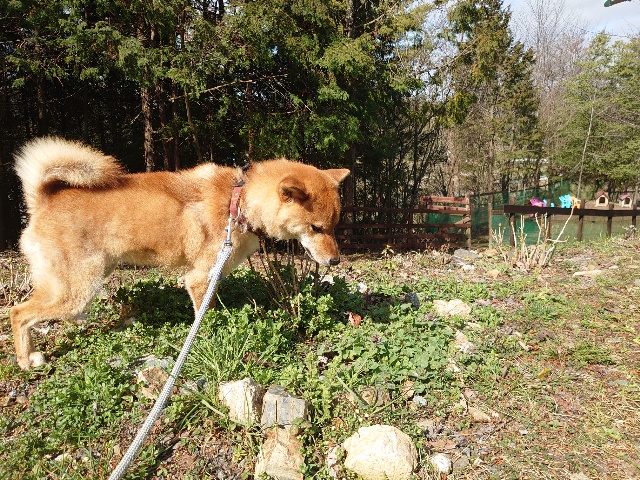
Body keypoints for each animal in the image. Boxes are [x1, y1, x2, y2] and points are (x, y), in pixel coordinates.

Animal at [10, 137, 349, 370]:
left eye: (334, 227)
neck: (238, 203)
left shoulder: (214, 277)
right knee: (17, 312)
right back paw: (26, 360)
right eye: (316, 228)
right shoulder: (199, 279)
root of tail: (44, 199)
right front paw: (208, 335)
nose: (335, 260)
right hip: (77, 289)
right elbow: (204, 315)